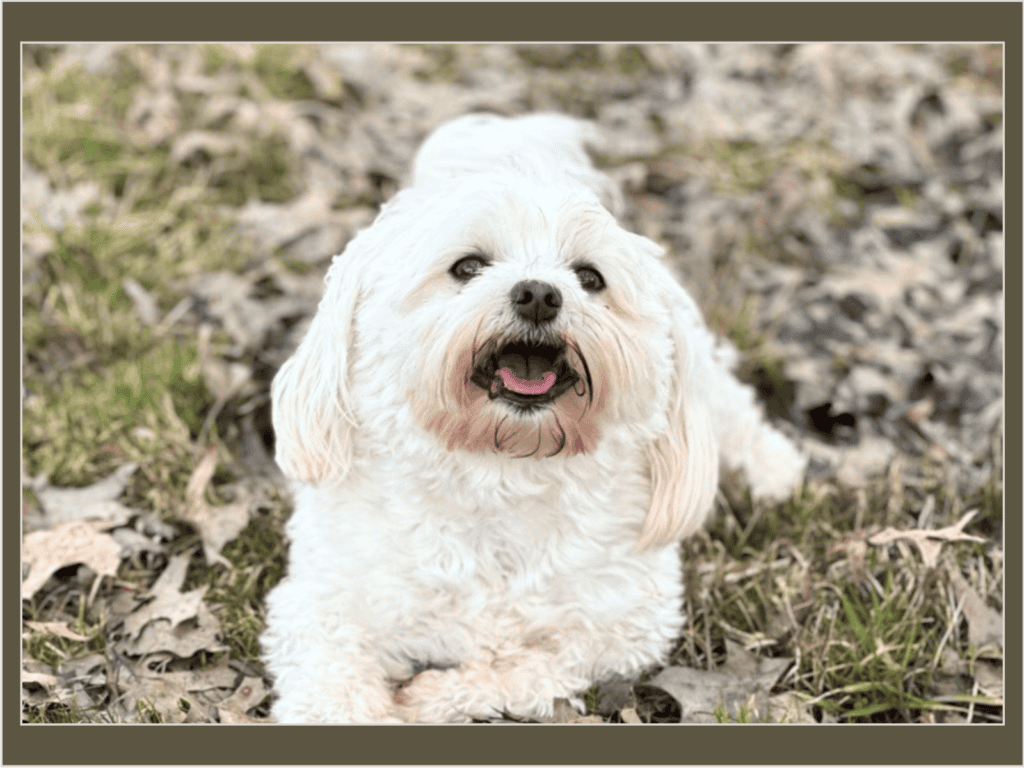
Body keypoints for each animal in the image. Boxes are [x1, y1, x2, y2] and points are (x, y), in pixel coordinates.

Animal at [260, 111, 802, 724]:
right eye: (468, 266)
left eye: (589, 277)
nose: (540, 293)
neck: (501, 468)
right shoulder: (320, 604)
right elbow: (331, 682)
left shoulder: (629, 625)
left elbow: (532, 666)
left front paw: (435, 697)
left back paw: (770, 470)